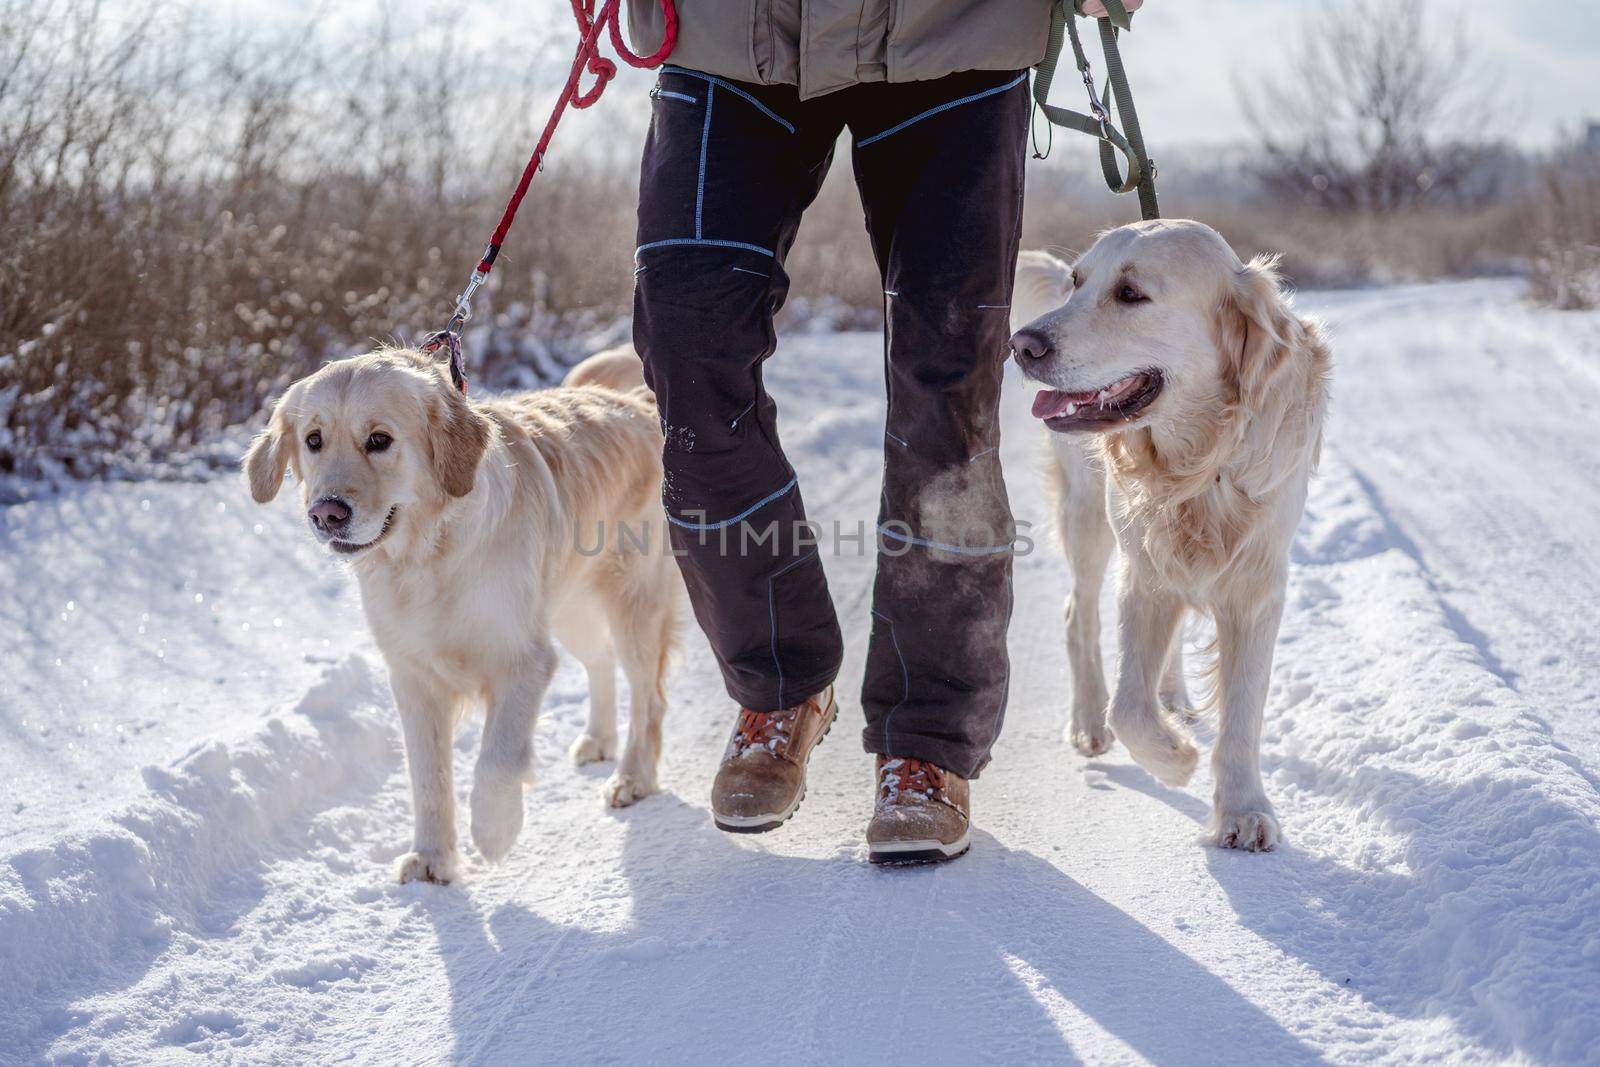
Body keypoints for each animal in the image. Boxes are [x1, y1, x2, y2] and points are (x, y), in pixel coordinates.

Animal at [241, 350, 675, 883]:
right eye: (313, 440)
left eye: (379, 440)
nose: (326, 514)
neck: (426, 557)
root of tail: (635, 404)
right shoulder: (413, 677)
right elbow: (428, 777)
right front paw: (432, 857)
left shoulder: (522, 659)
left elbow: (497, 759)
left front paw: (495, 830)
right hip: (571, 609)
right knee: (600, 661)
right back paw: (598, 739)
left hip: (632, 602)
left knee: (648, 697)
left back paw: (632, 777)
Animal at [1011, 219, 1337, 851]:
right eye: (1078, 282)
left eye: (1131, 294)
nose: (1022, 345)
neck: (1200, 465)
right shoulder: (1144, 571)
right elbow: (1128, 708)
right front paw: (1176, 758)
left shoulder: (1257, 585)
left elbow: (1243, 710)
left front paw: (1243, 810)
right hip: (1088, 517)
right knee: (1077, 612)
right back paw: (1087, 721)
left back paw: (1173, 694)